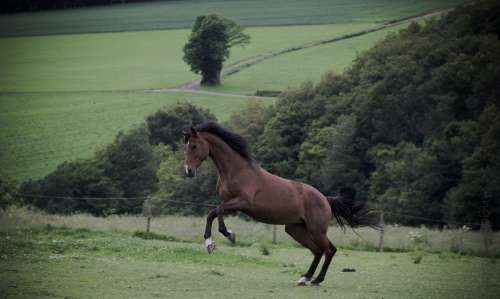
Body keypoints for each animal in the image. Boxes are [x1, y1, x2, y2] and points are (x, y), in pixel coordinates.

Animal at [184, 122, 376, 286]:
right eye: (185, 146)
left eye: (194, 146)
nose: (188, 171)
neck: (237, 171)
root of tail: (325, 199)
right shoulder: (229, 203)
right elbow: (212, 213)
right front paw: (209, 244)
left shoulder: (242, 202)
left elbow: (218, 212)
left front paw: (229, 235)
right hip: (296, 229)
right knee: (317, 251)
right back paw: (305, 278)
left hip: (316, 230)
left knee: (329, 250)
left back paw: (316, 280)